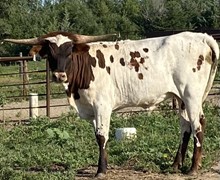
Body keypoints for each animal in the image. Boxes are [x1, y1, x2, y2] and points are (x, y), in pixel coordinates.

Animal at [4, 31, 219, 176]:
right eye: (49, 52)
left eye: (70, 50)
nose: (59, 75)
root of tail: (201, 37)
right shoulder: (91, 109)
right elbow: (97, 136)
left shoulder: (102, 106)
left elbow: (102, 137)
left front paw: (101, 170)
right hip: (181, 98)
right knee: (185, 128)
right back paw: (175, 166)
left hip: (191, 95)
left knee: (198, 125)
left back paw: (192, 169)